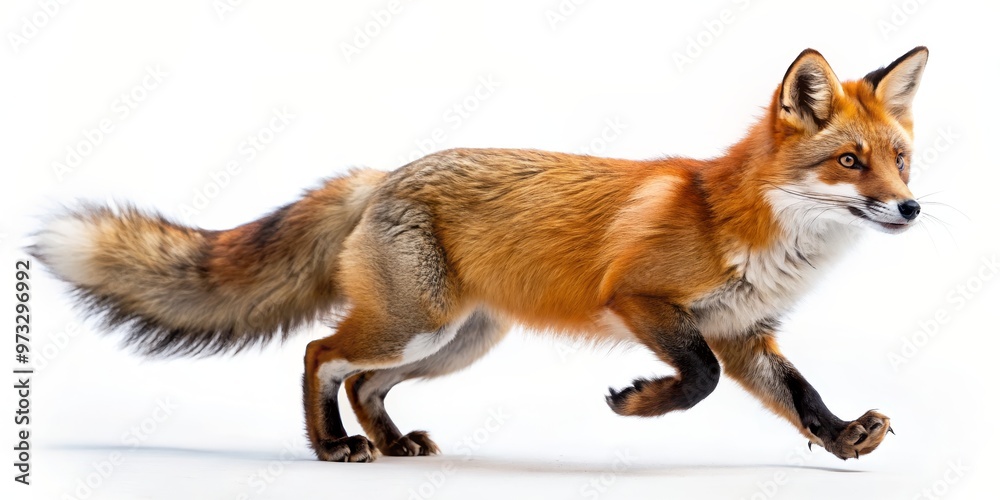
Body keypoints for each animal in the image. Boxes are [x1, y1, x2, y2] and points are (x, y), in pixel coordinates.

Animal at [30, 46, 929, 462]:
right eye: (850, 162)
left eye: (900, 160)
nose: (912, 208)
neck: (750, 226)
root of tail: (386, 173)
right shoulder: (642, 302)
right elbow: (696, 380)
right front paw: (637, 404)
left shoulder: (745, 332)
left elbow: (801, 397)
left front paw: (844, 438)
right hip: (414, 323)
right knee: (320, 353)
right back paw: (331, 447)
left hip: (457, 343)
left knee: (361, 381)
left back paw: (389, 444)